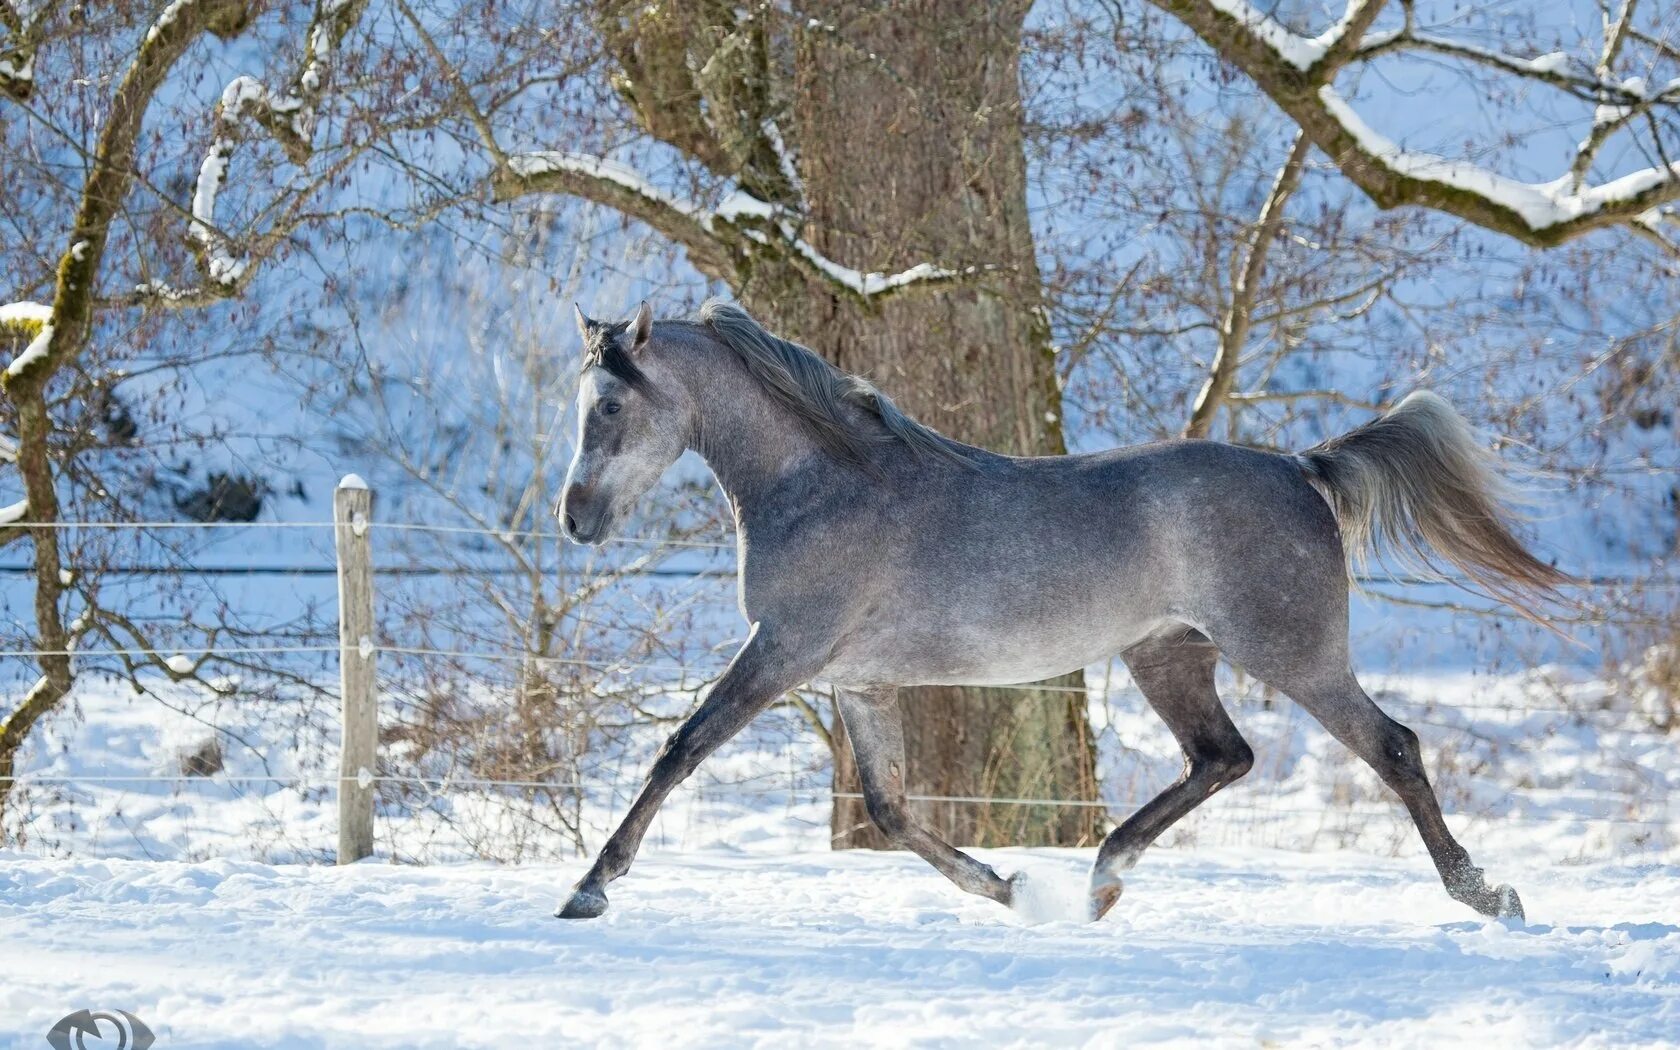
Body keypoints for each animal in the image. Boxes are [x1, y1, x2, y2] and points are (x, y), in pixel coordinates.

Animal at [557, 295, 1565, 913]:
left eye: (608, 407)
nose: (575, 519)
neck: (823, 485)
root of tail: (1300, 466)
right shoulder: (857, 680)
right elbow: (889, 809)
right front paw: (1004, 889)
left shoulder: (780, 652)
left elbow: (680, 750)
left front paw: (589, 889)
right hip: (1167, 654)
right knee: (1222, 757)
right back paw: (1100, 881)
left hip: (1293, 654)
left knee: (1392, 747)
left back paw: (1487, 896)